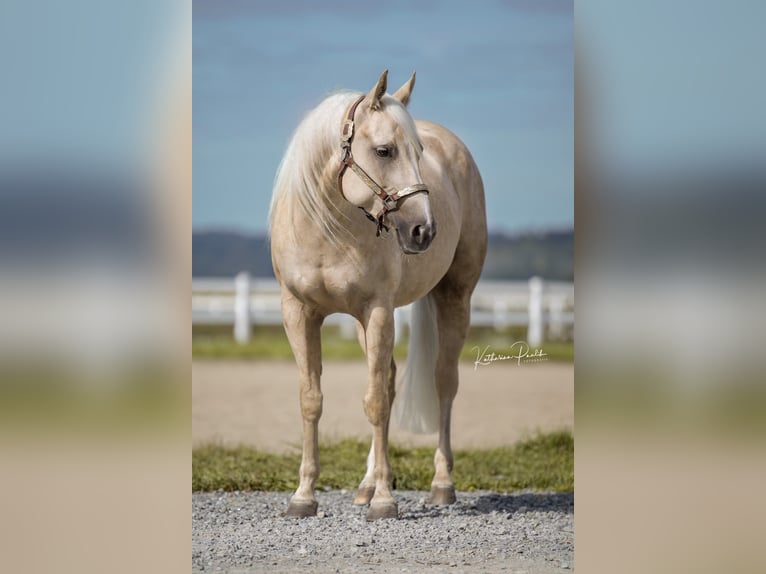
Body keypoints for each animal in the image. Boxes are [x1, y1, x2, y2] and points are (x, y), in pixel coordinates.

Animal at [269, 70, 487, 520]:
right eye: (383, 151)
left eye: (418, 153)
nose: (424, 231)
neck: (329, 231)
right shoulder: (298, 312)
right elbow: (312, 399)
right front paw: (304, 495)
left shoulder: (379, 310)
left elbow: (374, 403)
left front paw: (385, 502)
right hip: (362, 324)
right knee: (387, 380)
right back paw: (367, 484)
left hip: (454, 297)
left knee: (443, 382)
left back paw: (441, 485)